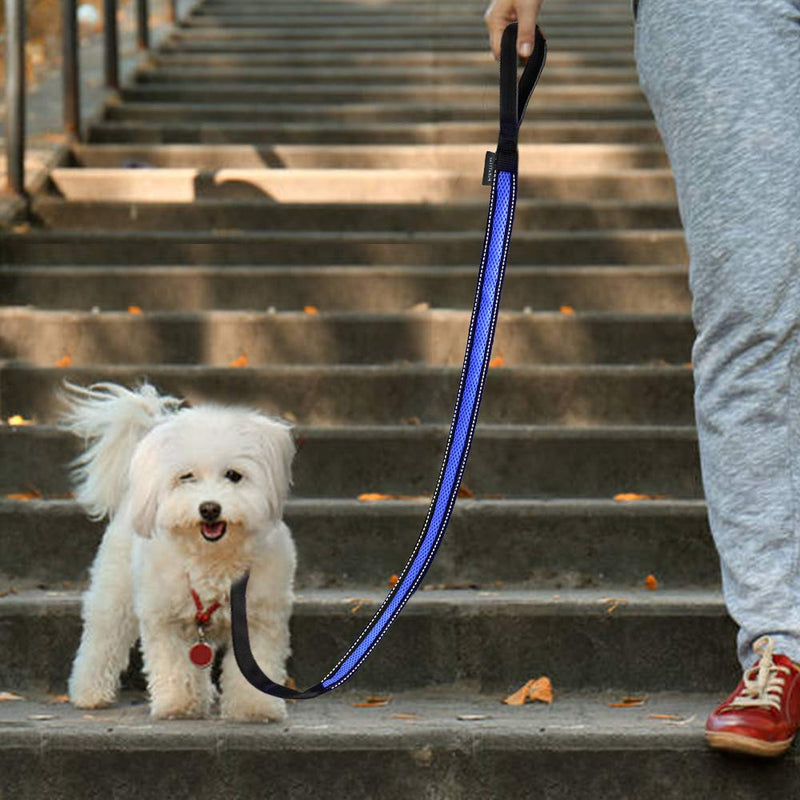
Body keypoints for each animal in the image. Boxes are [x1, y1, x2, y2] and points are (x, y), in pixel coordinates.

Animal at [61, 380, 294, 720]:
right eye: (187, 477)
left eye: (234, 475)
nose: (209, 508)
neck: (212, 558)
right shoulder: (164, 617)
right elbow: (173, 664)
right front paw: (178, 704)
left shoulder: (260, 617)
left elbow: (255, 666)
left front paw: (255, 707)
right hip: (115, 588)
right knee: (102, 637)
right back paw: (90, 693)